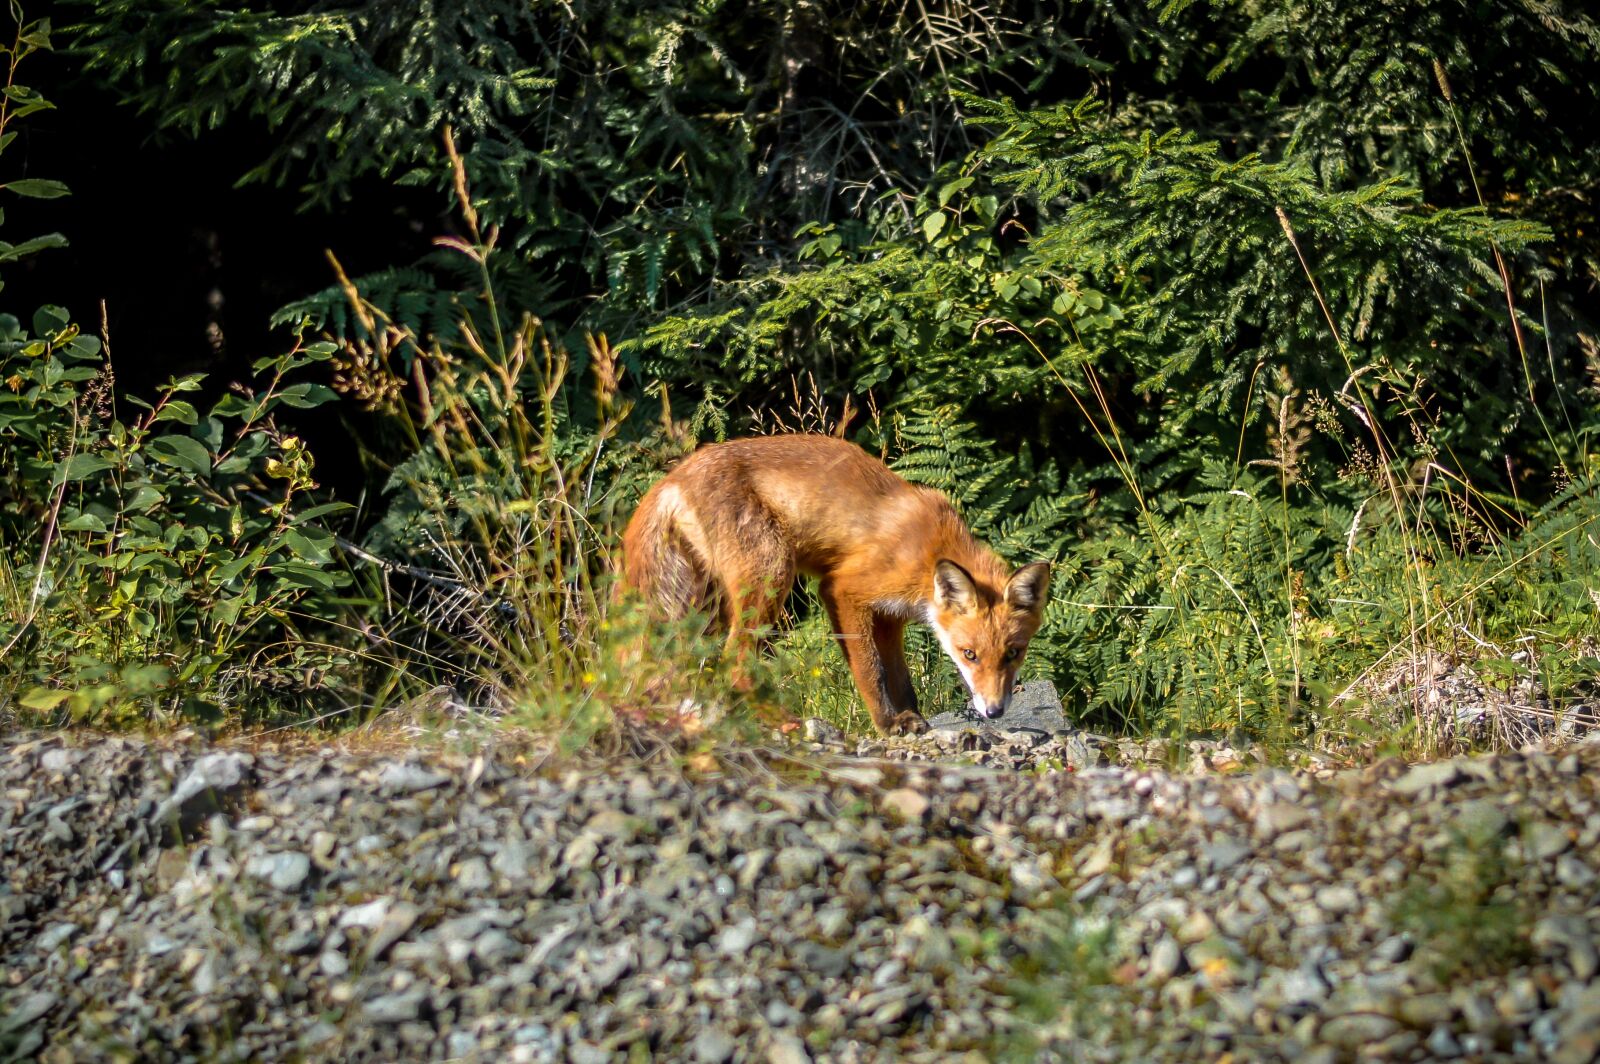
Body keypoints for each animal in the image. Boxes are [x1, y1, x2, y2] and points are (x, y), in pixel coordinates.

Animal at [618, 433, 1052, 736]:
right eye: (969, 654)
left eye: (1013, 653)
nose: (995, 711)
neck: (930, 548)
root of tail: (672, 479)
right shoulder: (843, 590)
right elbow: (870, 671)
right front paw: (886, 724)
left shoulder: (890, 616)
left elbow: (900, 678)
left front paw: (911, 717)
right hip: (771, 575)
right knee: (735, 663)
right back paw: (779, 720)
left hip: (702, 605)